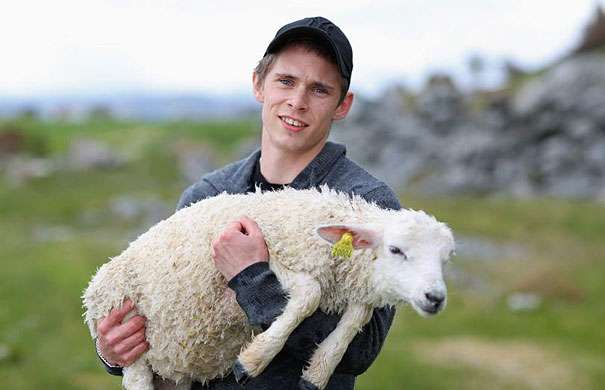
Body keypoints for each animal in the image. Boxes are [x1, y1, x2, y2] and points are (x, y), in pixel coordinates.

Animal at [82, 187, 456, 390]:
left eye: (446, 258)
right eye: (396, 250)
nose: (435, 298)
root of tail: (93, 288)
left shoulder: (356, 288)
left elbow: (355, 321)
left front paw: (318, 371)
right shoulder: (273, 254)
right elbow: (309, 295)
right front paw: (253, 360)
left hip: (174, 367)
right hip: (126, 328)